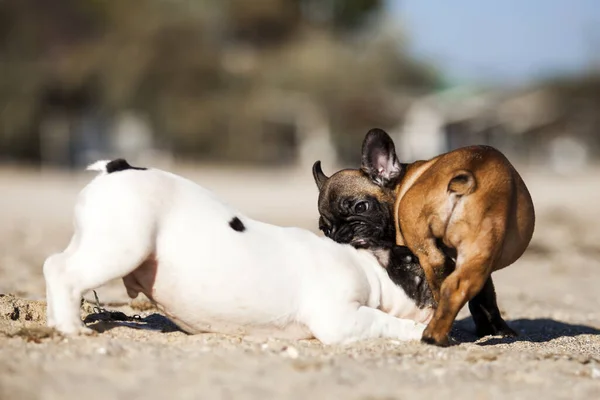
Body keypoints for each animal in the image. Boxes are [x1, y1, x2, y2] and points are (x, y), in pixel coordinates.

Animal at [44, 159, 434, 344]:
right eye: (416, 266)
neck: (367, 266)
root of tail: (118, 167)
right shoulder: (340, 318)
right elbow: (384, 320)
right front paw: (418, 332)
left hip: (96, 240)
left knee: (53, 265)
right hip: (121, 245)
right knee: (65, 272)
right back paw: (72, 328)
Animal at [314, 129, 536, 346]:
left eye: (361, 207)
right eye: (324, 229)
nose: (340, 235)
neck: (398, 184)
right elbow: (484, 297)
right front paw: (495, 330)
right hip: (475, 244)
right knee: (453, 283)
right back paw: (436, 334)